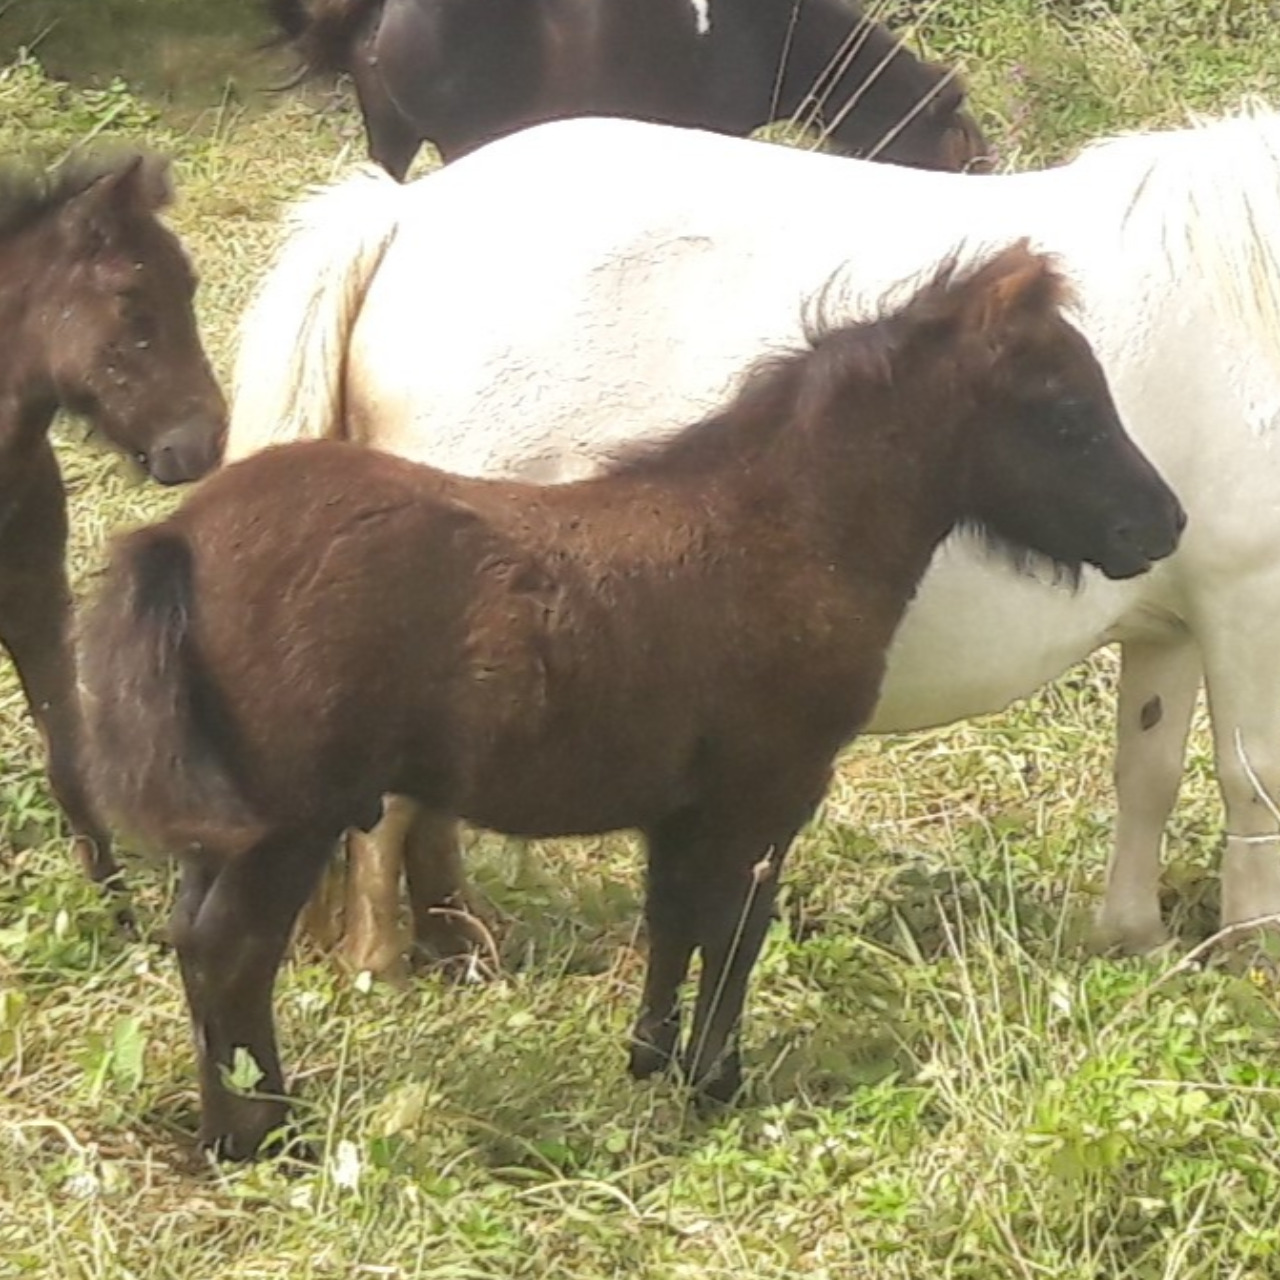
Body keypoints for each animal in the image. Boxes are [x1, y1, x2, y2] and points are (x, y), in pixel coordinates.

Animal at [0, 149, 225, 906]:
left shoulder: (38, 601)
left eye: (191, 285)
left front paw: (114, 902)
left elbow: (69, 760)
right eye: (130, 297)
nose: (205, 443)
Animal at [77, 241, 1177, 1162]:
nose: (1161, 523)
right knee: (233, 952)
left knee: (195, 943)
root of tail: (174, 539)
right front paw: (716, 1081)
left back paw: (234, 1122)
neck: (785, 528)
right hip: (286, 824)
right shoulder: (770, 792)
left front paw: (651, 1062)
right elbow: (735, 931)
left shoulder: (684, 807)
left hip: (225, 827)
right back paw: (263, 1130)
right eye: (1067, 413)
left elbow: (674, 921)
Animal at [230, 112, 1280, 967]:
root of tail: (401, 218)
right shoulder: (1246, 599)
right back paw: (385, 962)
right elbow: (1252, 779)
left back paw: (459, 942)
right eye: (1065, 413)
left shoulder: (1173, 621)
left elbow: (1147, 773)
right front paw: (1251, 955)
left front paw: (1135, 938)